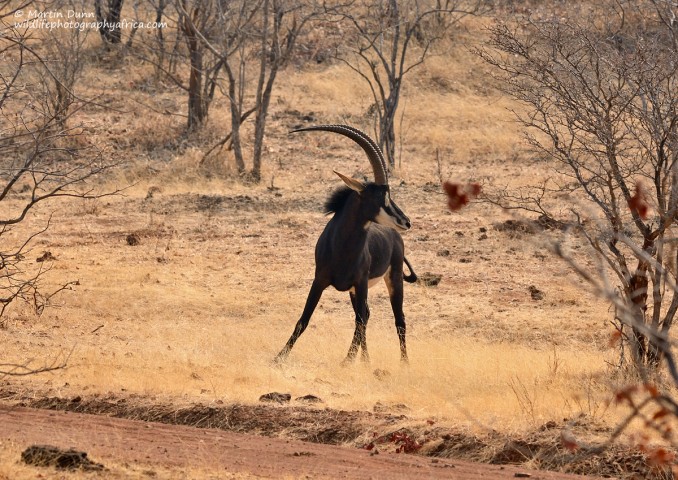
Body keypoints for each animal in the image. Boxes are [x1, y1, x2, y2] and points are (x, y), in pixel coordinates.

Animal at [274, 124, 418, 364]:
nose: (406, 221)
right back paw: (366, 359)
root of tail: (395, 236)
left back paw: (404, 363)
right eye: (381, 197)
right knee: (366, 314)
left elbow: (358, 322)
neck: (341, 248)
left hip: (393, 278)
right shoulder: (320, 280)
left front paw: (348, 361)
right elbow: (303, 319)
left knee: (398, 320)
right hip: (355, 290)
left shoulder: (360, 282)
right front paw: (279, 357)